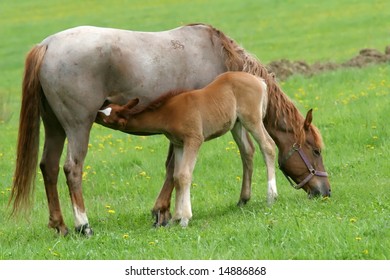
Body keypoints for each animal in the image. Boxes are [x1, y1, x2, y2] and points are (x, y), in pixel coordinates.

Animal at [10, 23, 330, 235]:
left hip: (55, 126)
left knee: (49, 166)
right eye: (315, 150)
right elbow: (173, 169)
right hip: (78, 126)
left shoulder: (224, 120)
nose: (325, 191)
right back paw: (82, 224)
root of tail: (47, 45)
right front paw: (164, 213)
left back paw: (60, 225)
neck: (219, 54)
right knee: (72, 169)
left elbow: (242, 153)